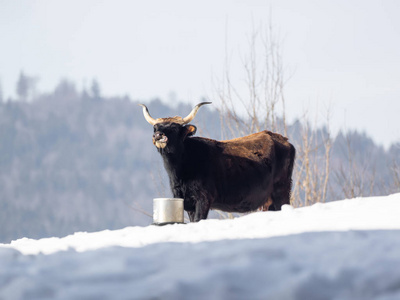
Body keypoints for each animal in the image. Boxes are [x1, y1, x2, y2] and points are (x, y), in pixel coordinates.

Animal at [139, 102, 296, 221]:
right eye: (155, 127)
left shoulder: (203, 199)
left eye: (174, 128)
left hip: (282, 191)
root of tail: (283, 140)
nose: (158, 135)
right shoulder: (187, 202)